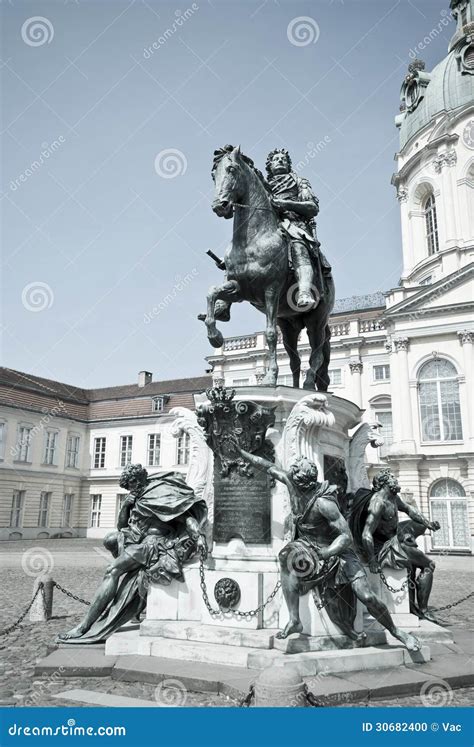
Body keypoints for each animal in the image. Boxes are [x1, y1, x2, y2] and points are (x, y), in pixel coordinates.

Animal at [204, 145, 334, 392]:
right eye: (213, 175)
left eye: (232, 169)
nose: (219, 206)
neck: (251, 240)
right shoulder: (239, 289)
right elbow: (212, 292)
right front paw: (215, 335)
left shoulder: (271, 290)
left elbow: (270, 334)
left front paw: (270, 378)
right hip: (290, 324)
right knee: (294, 360)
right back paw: (294, 386)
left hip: (317, 320)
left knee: (316, 355)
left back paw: (307, 384)